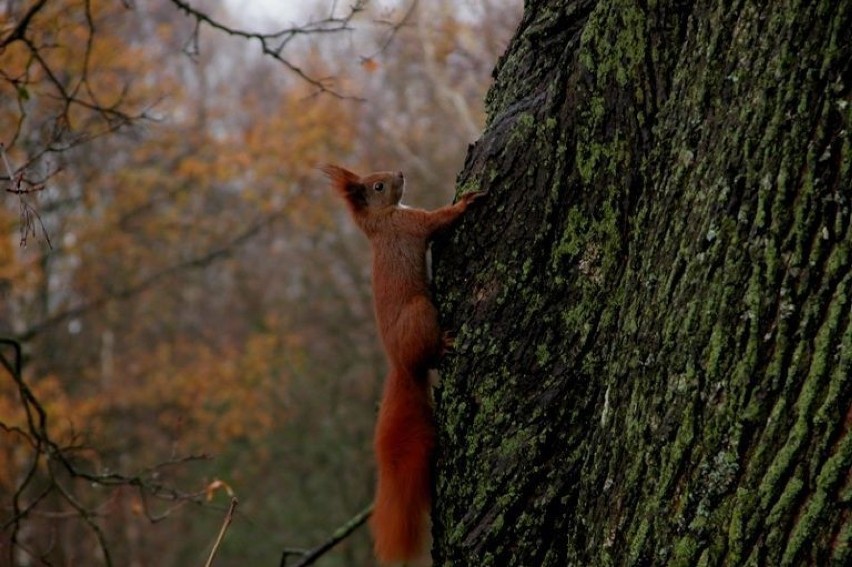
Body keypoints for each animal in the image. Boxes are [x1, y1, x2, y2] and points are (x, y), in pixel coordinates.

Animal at [322, 164, 482, 564]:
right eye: (379, 186)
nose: (401, 172)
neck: (383, 221)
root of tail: (402, 366)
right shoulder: (413, 225)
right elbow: (440, 220)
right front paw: (466, 202)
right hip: (422, 313)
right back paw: (444, 344)